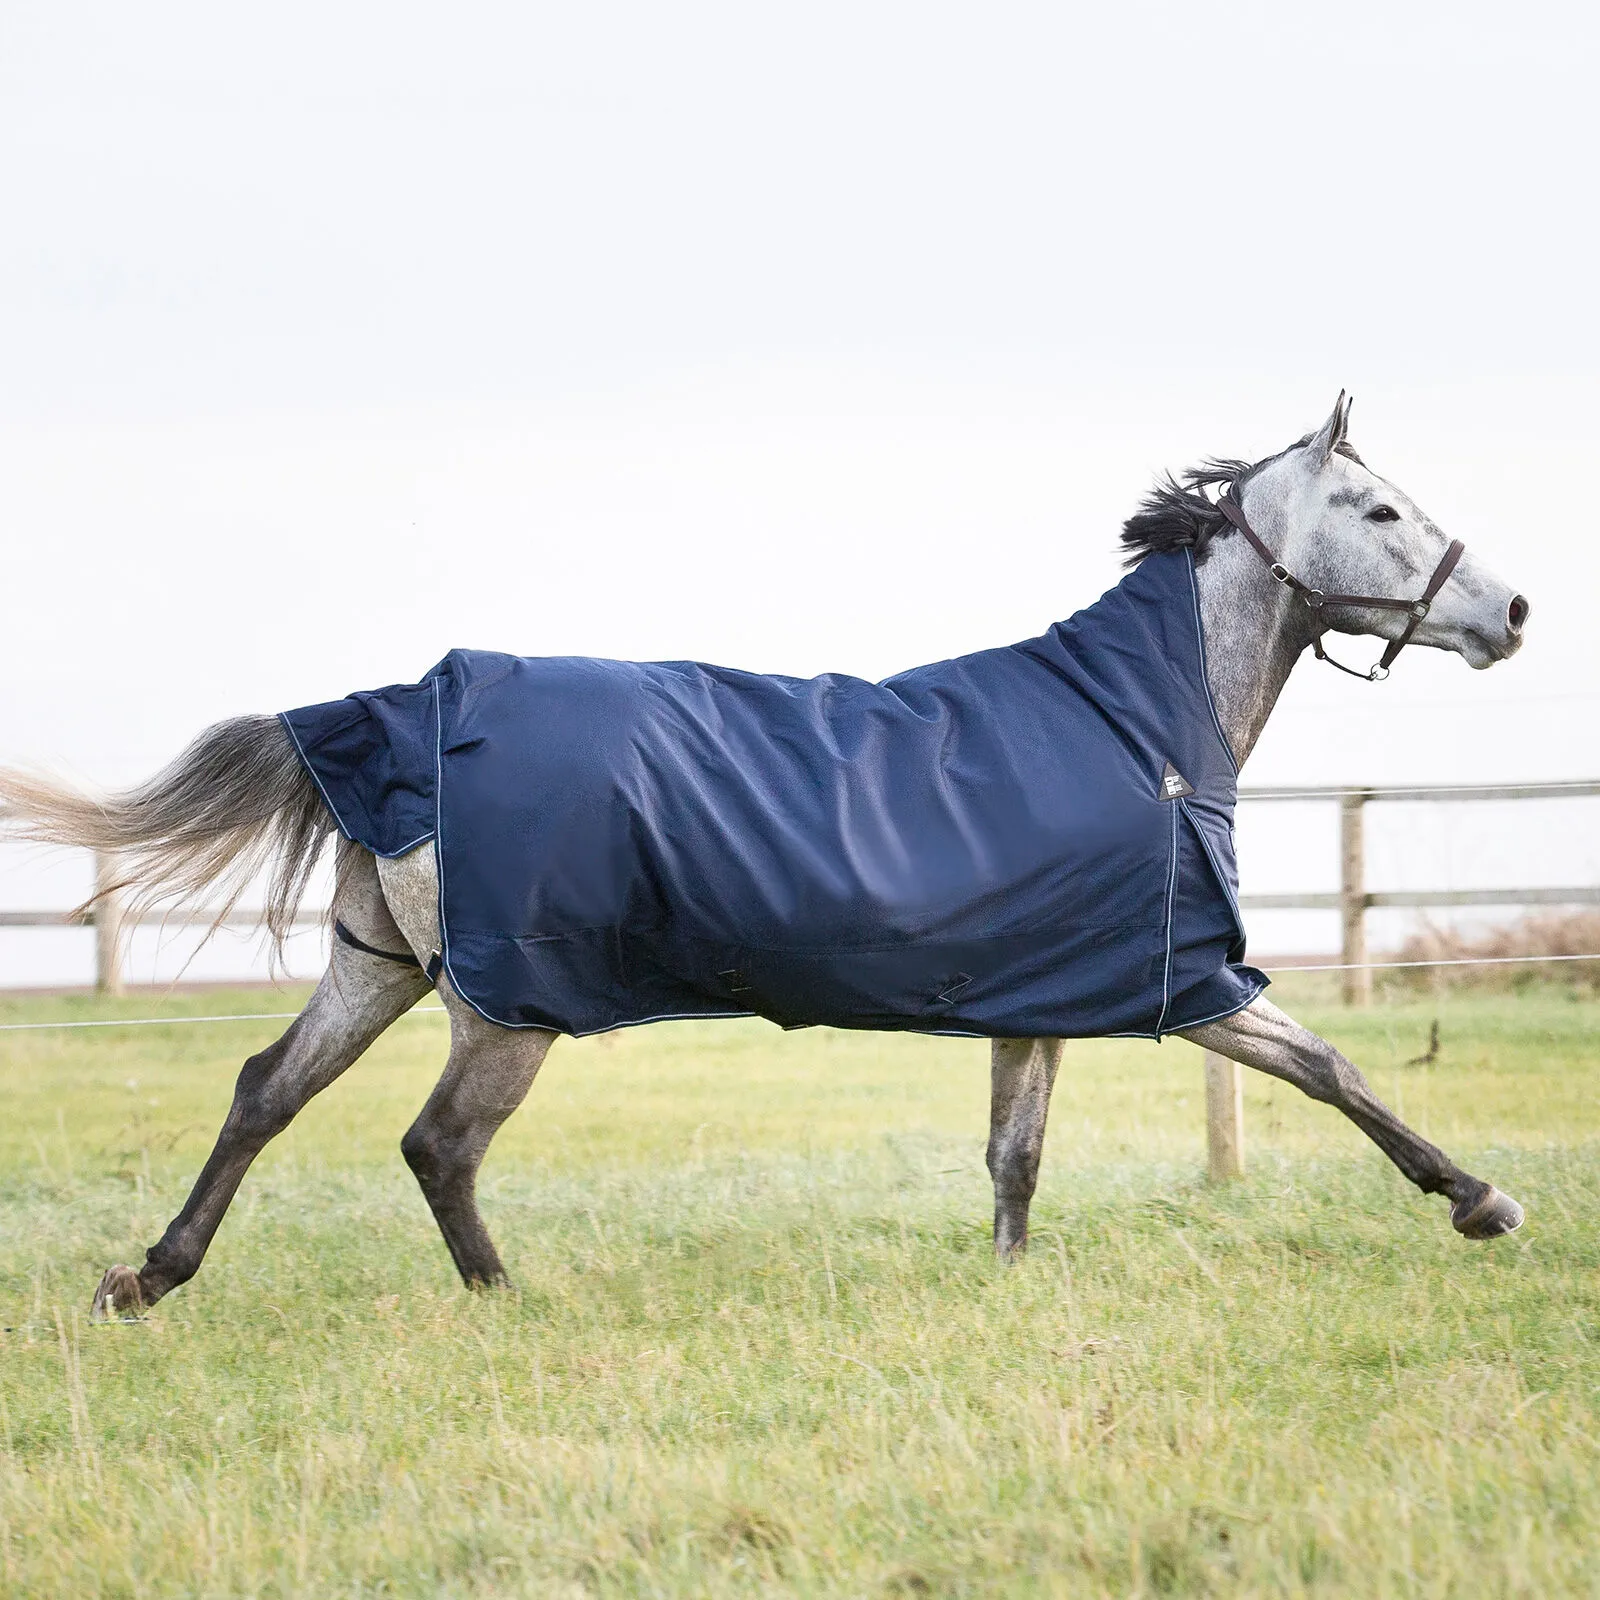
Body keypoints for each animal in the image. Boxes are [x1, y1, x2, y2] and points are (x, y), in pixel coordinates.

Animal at [0, 393, 1529, 1318]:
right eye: (1381, 511)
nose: (1511, 610)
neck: (1136, 720)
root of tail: (403, 707)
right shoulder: (1191, 983)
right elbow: (1331, 1072)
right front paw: (1480, 1201)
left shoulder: (1038, 994)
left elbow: (1015, 1155)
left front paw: (1006, 1283)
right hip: (507, 1005)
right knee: (438, 1143)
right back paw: (503, 1297)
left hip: (380, 968)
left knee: (267, 1091)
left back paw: (149, 1277)